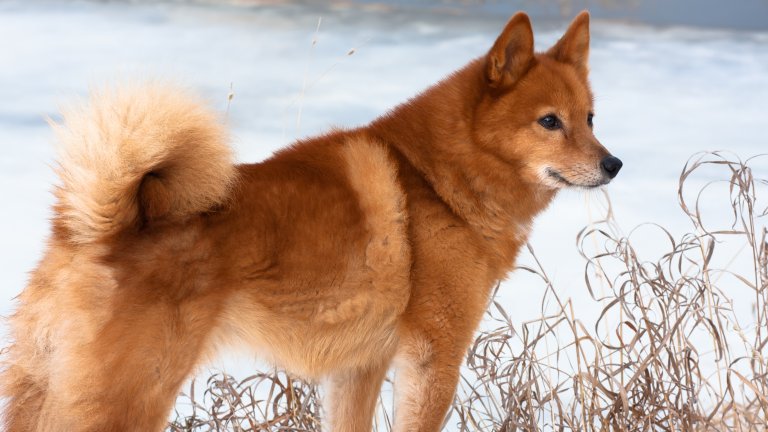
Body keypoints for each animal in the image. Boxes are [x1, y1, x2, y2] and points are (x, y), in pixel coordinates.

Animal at [1, 10, 616, 432]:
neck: (436, 179)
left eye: (590, 118)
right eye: (549, 121)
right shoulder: (433, 356)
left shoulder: (358, 369)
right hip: (128, 399)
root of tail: (95, 226)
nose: (614, 164)